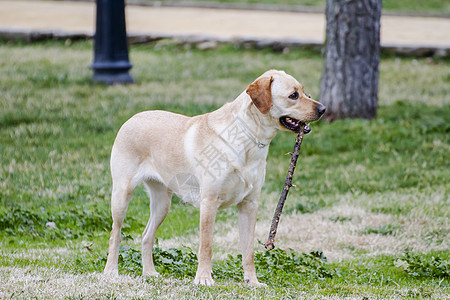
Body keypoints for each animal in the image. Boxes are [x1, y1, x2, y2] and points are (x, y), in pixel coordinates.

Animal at [103, 68, 326, 286]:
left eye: (304, 91)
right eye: (293, 95)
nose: (323, 109)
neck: (248, 137)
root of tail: (132, 118)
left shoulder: (249, 204)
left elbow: (248, 251)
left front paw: (252, 281)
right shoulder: (209, 202)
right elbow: (206, 246)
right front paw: (203, 278)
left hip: (162, 203)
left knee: (146, 235)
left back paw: (149, 273)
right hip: (122, 194)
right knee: (115, 234)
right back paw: (111, 272)